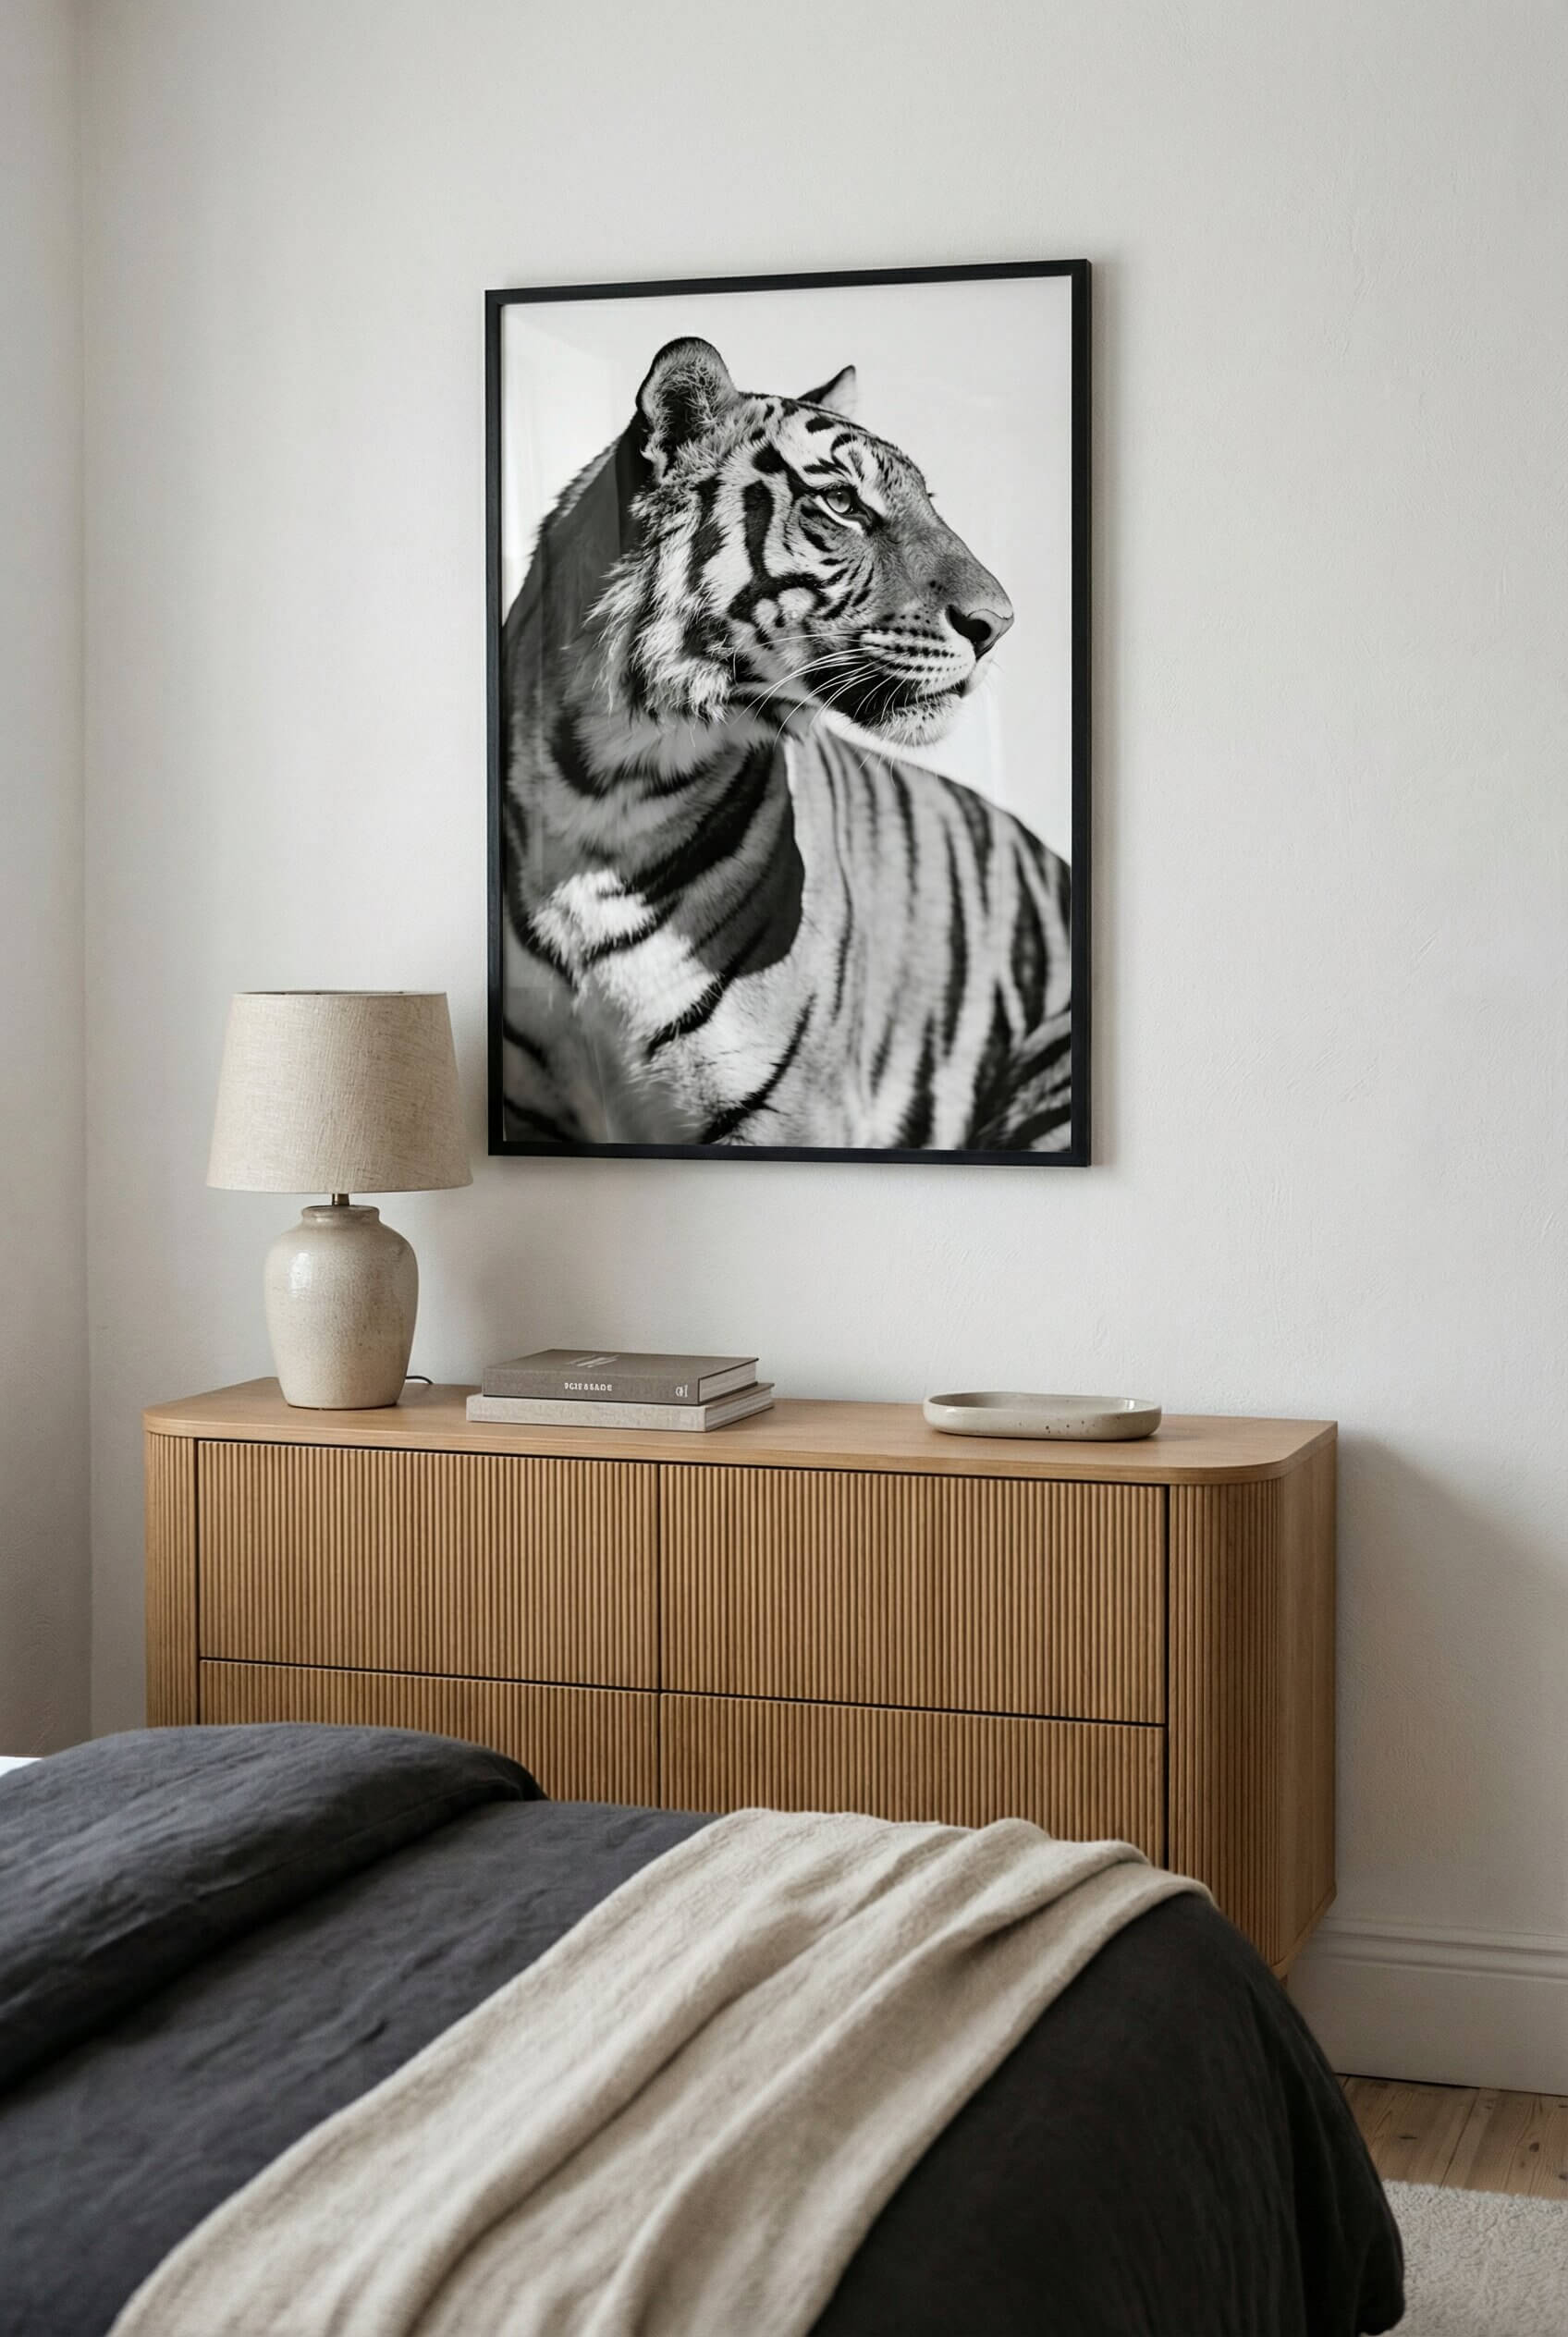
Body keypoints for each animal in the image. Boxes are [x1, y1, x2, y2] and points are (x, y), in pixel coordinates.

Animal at [498, 334, 1072, 1152]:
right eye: (844, 504)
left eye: (929, 503)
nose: (998, 625)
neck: (605, 785)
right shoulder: (531, 1111)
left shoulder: (786, 1113)